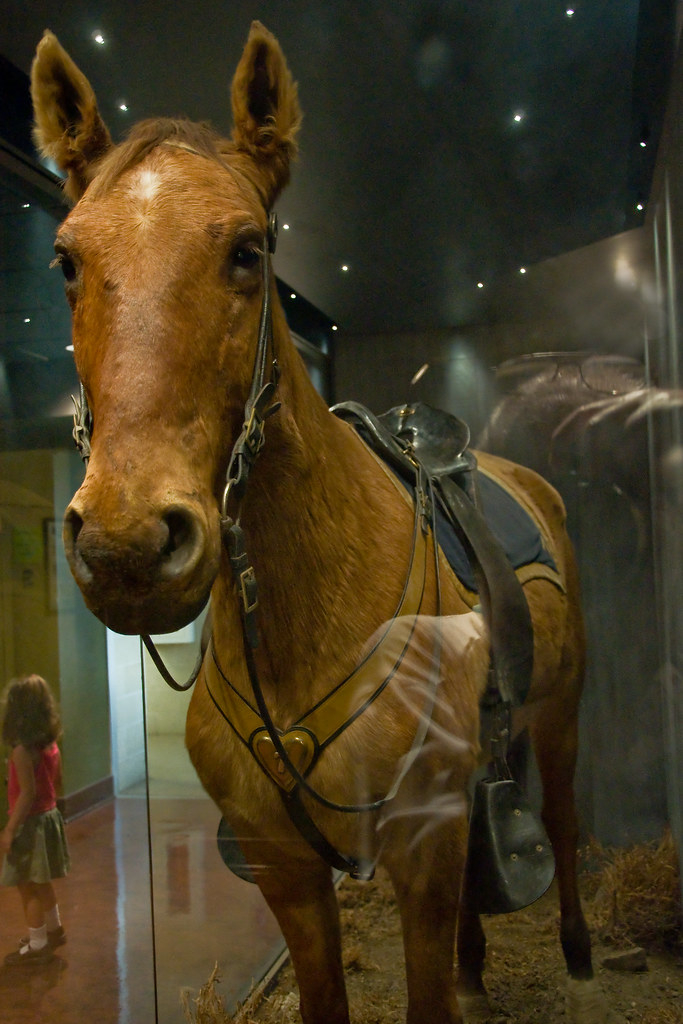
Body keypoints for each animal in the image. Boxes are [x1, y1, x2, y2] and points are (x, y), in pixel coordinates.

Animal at [31, 22, 606, 1024]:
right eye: (66, 261)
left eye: (248, 251)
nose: (126, 544)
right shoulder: (289, 873)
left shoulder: (421, 848)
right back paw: (474, 961)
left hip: (558, 713)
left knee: (564, 815)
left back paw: (573, 948)